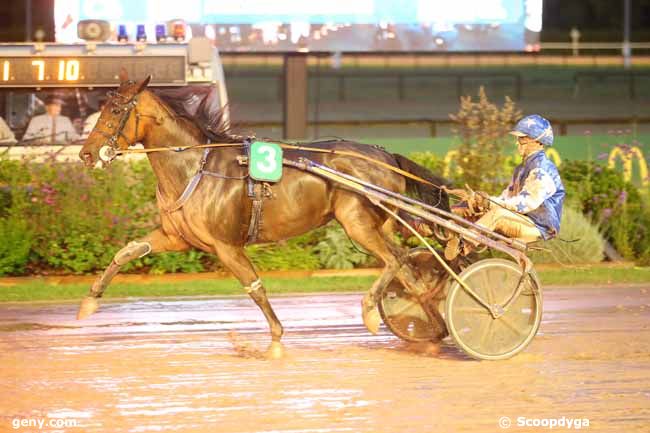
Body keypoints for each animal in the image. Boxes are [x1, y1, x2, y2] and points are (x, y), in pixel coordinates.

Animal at [77, 76, 446, 356]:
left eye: (116, 110)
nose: (87, 154)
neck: (196, 167)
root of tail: (387, 156)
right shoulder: (176, 238)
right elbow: (126, 252)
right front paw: (89, 302)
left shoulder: (226, 246)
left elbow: (254, 288)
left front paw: (276, 341)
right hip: (375, 224)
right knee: (410, 272)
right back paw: (434, 330)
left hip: (357, 222)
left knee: (395, 260)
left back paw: (371, 311)